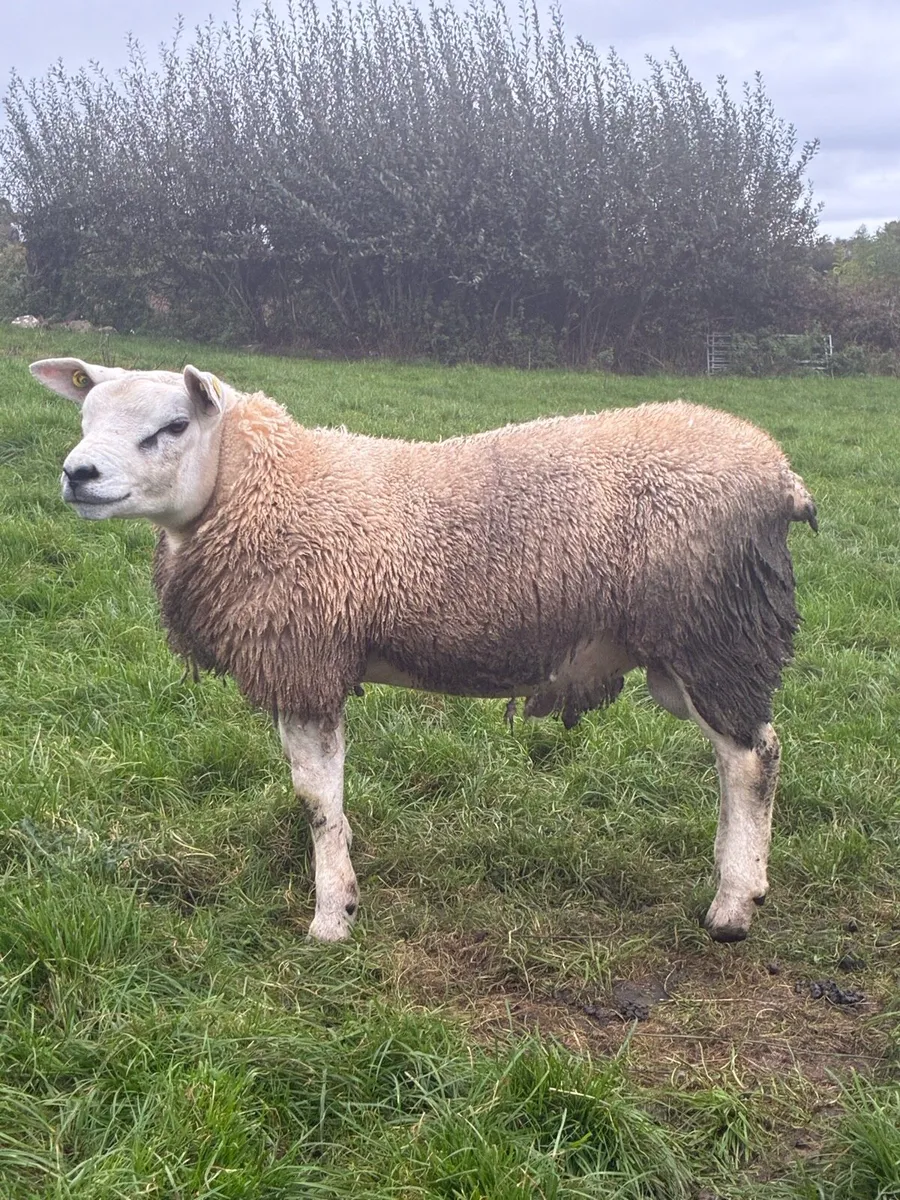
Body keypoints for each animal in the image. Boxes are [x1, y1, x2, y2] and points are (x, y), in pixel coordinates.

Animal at [32, 356, 817, 944]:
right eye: (85, 417)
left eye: (173, 425)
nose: (78, 475)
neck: (260, 488)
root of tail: (782, 474)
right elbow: (325, 797)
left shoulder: (306, 658)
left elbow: (315, 797)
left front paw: (332, 917)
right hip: (687, 652)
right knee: (742, 754)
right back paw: (733, 878)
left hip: (714, 630)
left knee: (753, 757)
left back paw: (733, 906)